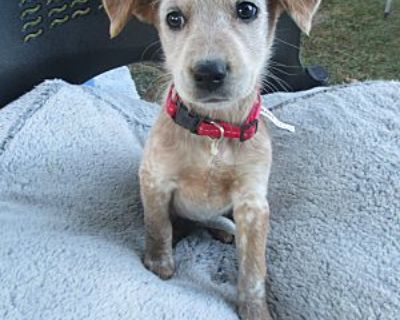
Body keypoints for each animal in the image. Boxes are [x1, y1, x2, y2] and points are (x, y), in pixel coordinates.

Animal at [102, 1, 318, 318]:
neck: (214, 131)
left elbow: (253, 269)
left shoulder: (252, 202)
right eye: (173, 18)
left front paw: (255, 310)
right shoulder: (155, 180)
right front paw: (159, 267)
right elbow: (158, 227)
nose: (208, 72)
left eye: (247, 9)